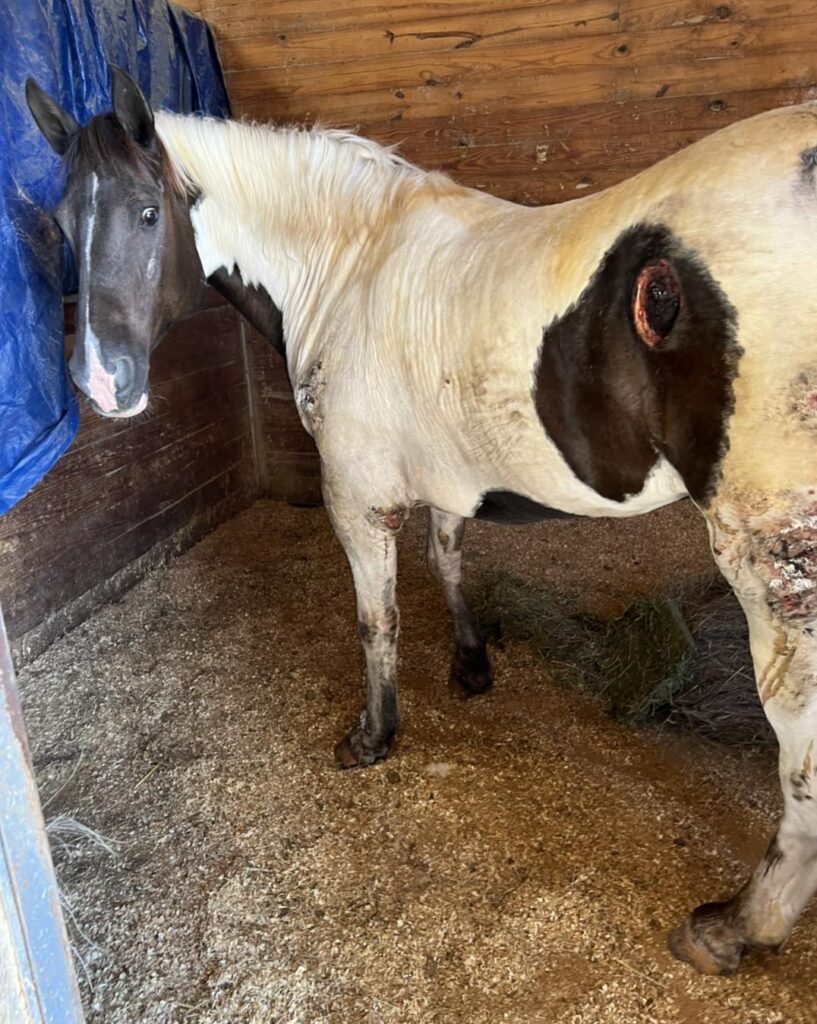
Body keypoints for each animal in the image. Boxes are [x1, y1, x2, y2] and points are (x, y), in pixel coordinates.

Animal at [25, 65, 817, 976]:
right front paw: (471, 666)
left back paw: (736, 925)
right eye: (61, 225)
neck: (347, 266)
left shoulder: (356, 496)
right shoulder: (447, 475)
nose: (101, 384)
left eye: (149, 212)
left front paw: (374, 736)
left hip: (772, 564)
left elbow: (379, 619)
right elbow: (446, 559)